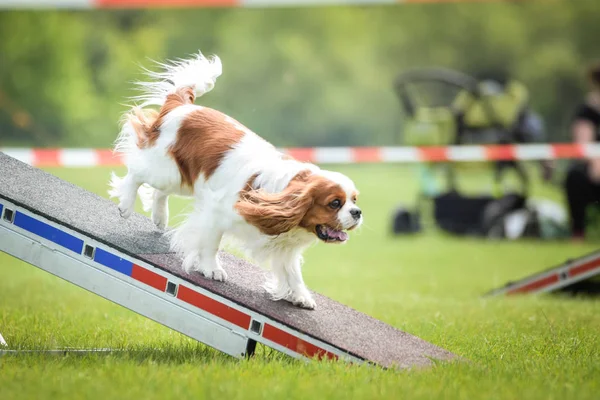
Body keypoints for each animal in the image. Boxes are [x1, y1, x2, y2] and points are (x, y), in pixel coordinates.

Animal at [107, 51, 360, 310]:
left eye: (354, 200)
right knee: (136, 173)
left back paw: (160, 218)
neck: (280, 196)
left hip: (181, 180)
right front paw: (211, 269)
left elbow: (293, 272)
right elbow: (211, 243)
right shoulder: (218, 212)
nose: (357, 213)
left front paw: (301, 296)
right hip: (165, 171)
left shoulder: (285, 246)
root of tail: (182, 107)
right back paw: (126, 205)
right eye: (335, 203)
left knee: (159, 192)